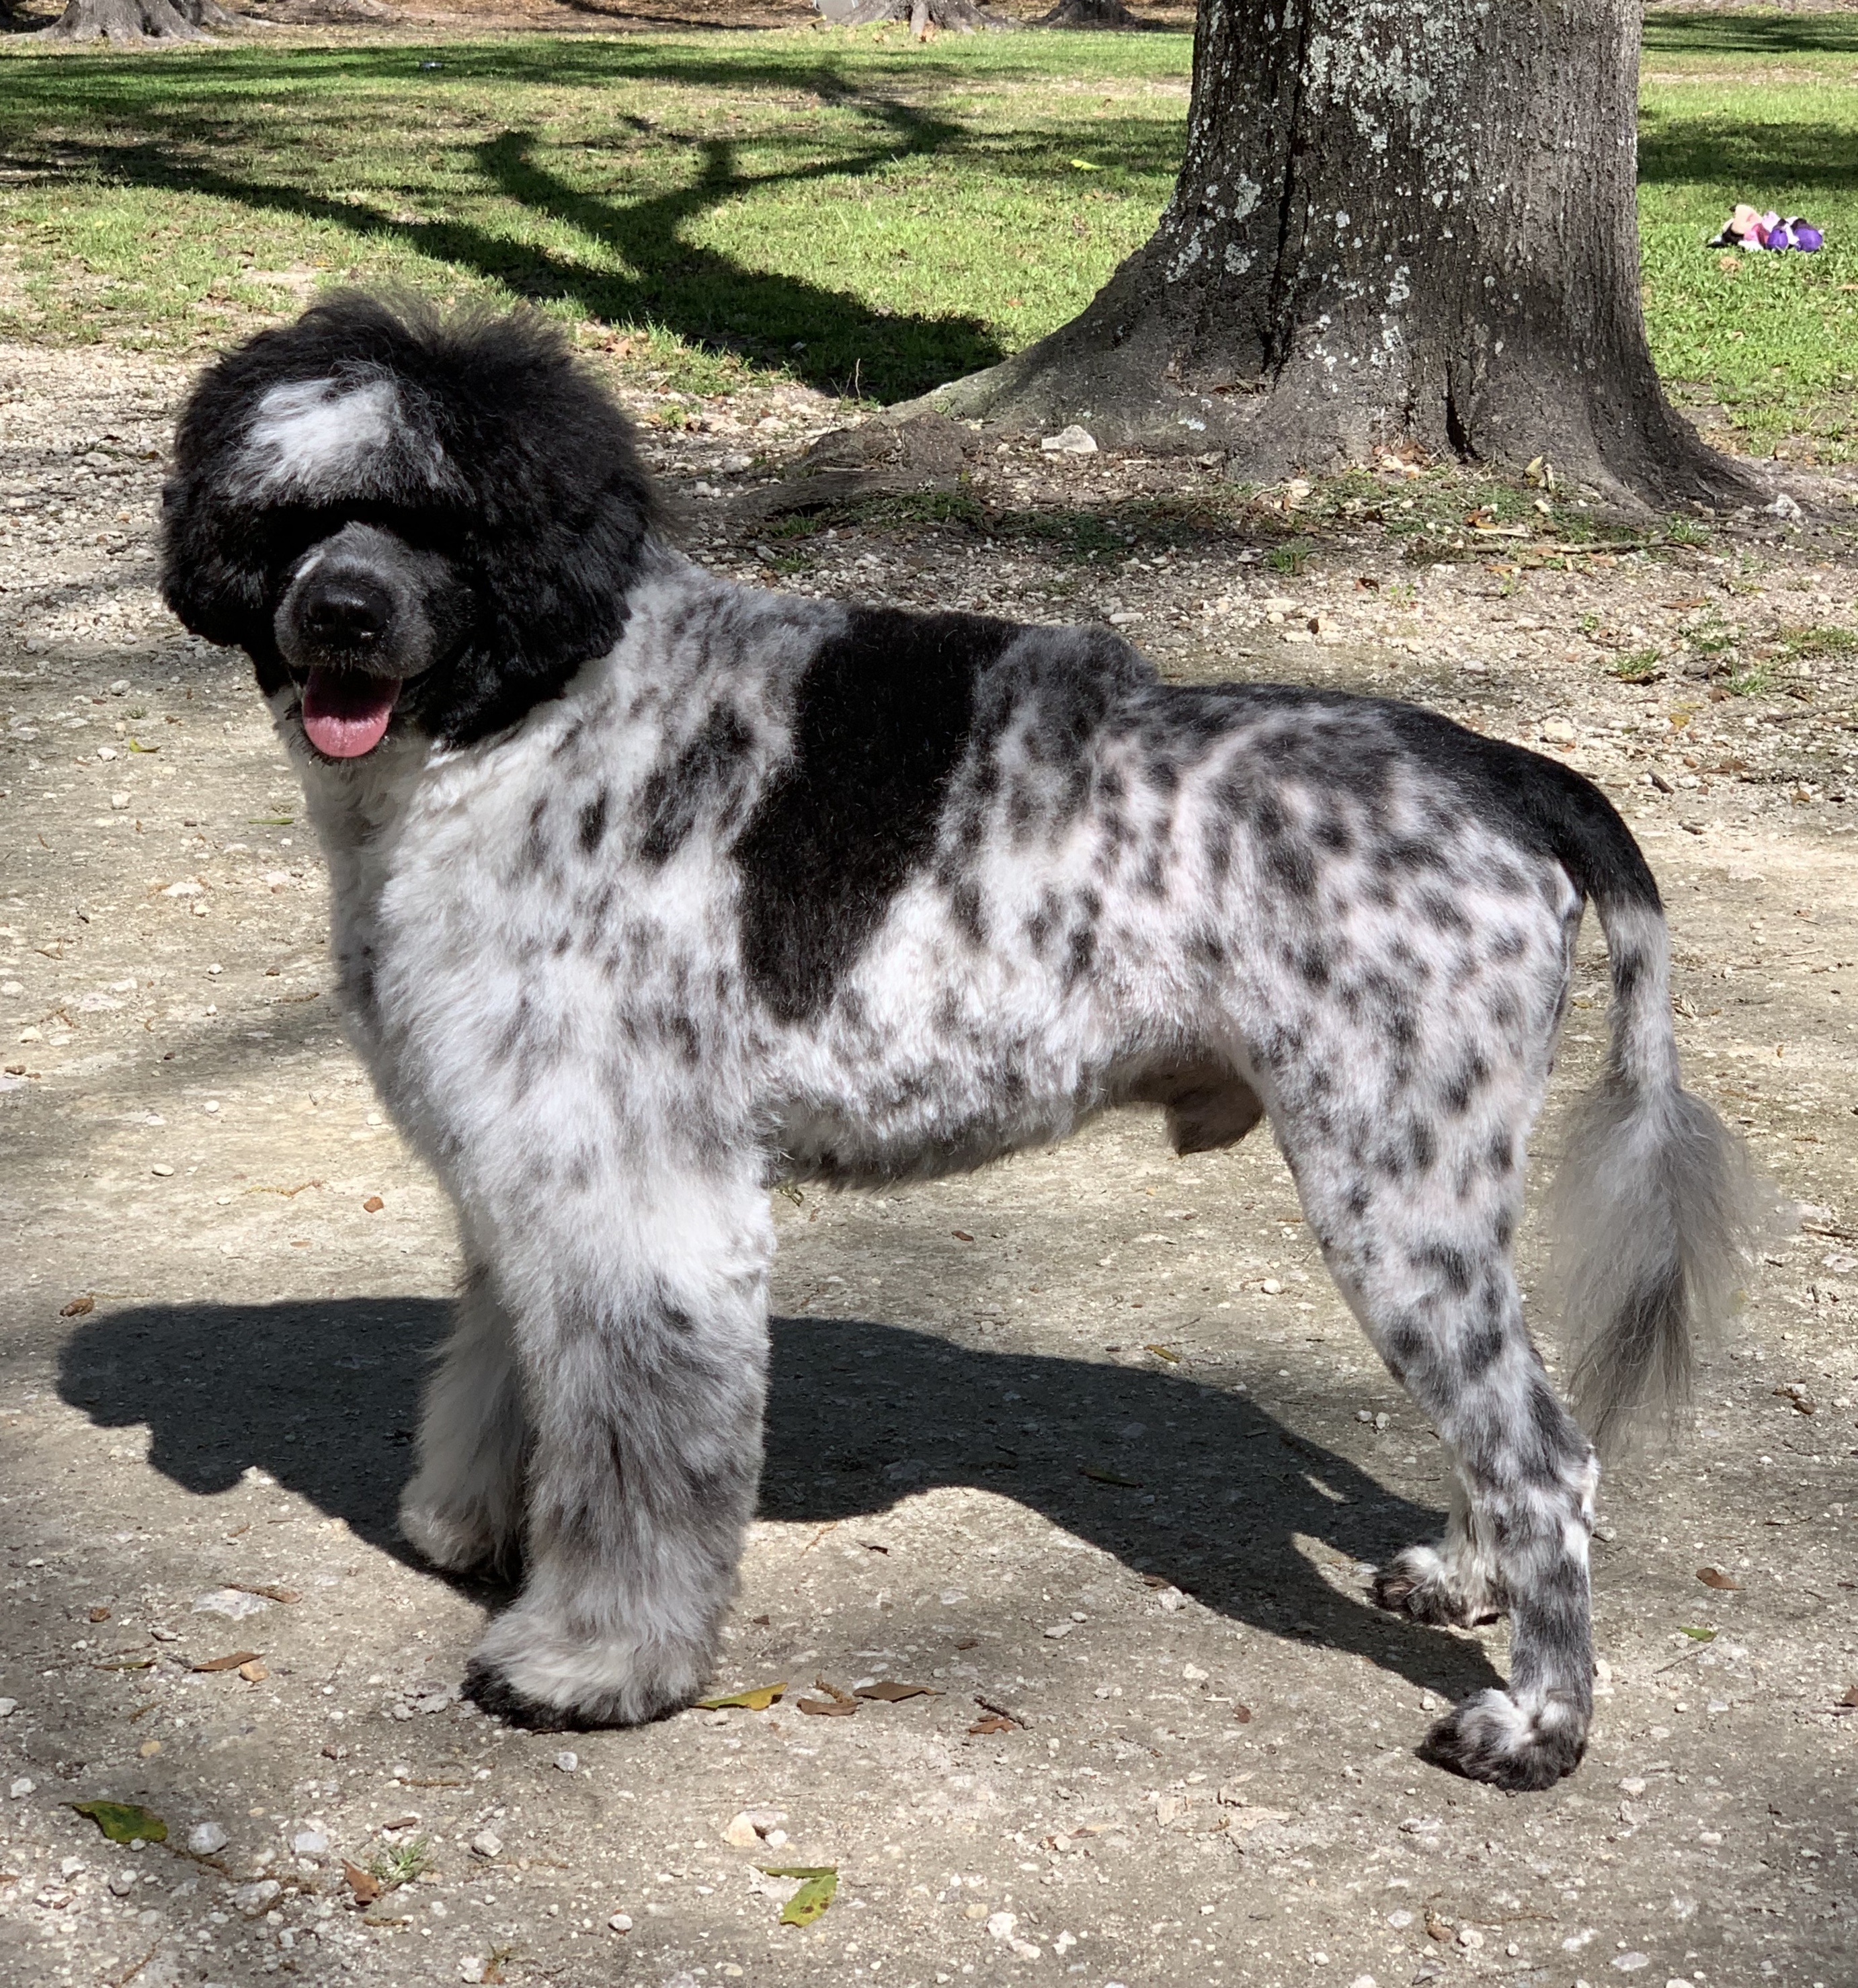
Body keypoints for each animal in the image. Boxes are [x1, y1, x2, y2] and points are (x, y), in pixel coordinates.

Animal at [156, 298, 1759, 1805]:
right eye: (281, 513)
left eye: (447, 514)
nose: (340, 614)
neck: (531, 708)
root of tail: (1493, 770)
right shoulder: (524, 1166)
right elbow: (502, 1374)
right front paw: (469, 1526)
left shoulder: (644, 1202)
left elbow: (632, 1466)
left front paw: (589, 1660)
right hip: (1439, 1206)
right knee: (1512, 1436)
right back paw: (1466, 1577)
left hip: (1395, 1200)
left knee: (1546, 1458)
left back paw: (1539, 1720)